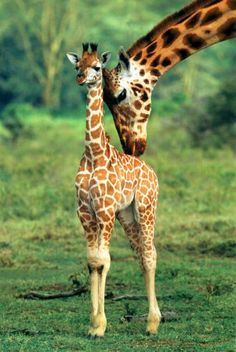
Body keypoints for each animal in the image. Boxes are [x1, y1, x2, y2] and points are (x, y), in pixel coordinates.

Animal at [67, 42, 161, 336]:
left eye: (97, 67)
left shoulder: (105, 209)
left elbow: (104, 260)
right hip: (127, 214)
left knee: (150, 253)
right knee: (140, 253)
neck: (93, 153)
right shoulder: (85, 211)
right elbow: (92, 261)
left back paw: (153, 324)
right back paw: (152, 319)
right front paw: (93, 323)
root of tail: (152, 172)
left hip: (145, 207)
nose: (80, 78)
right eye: (77, 65)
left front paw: (100, 325)